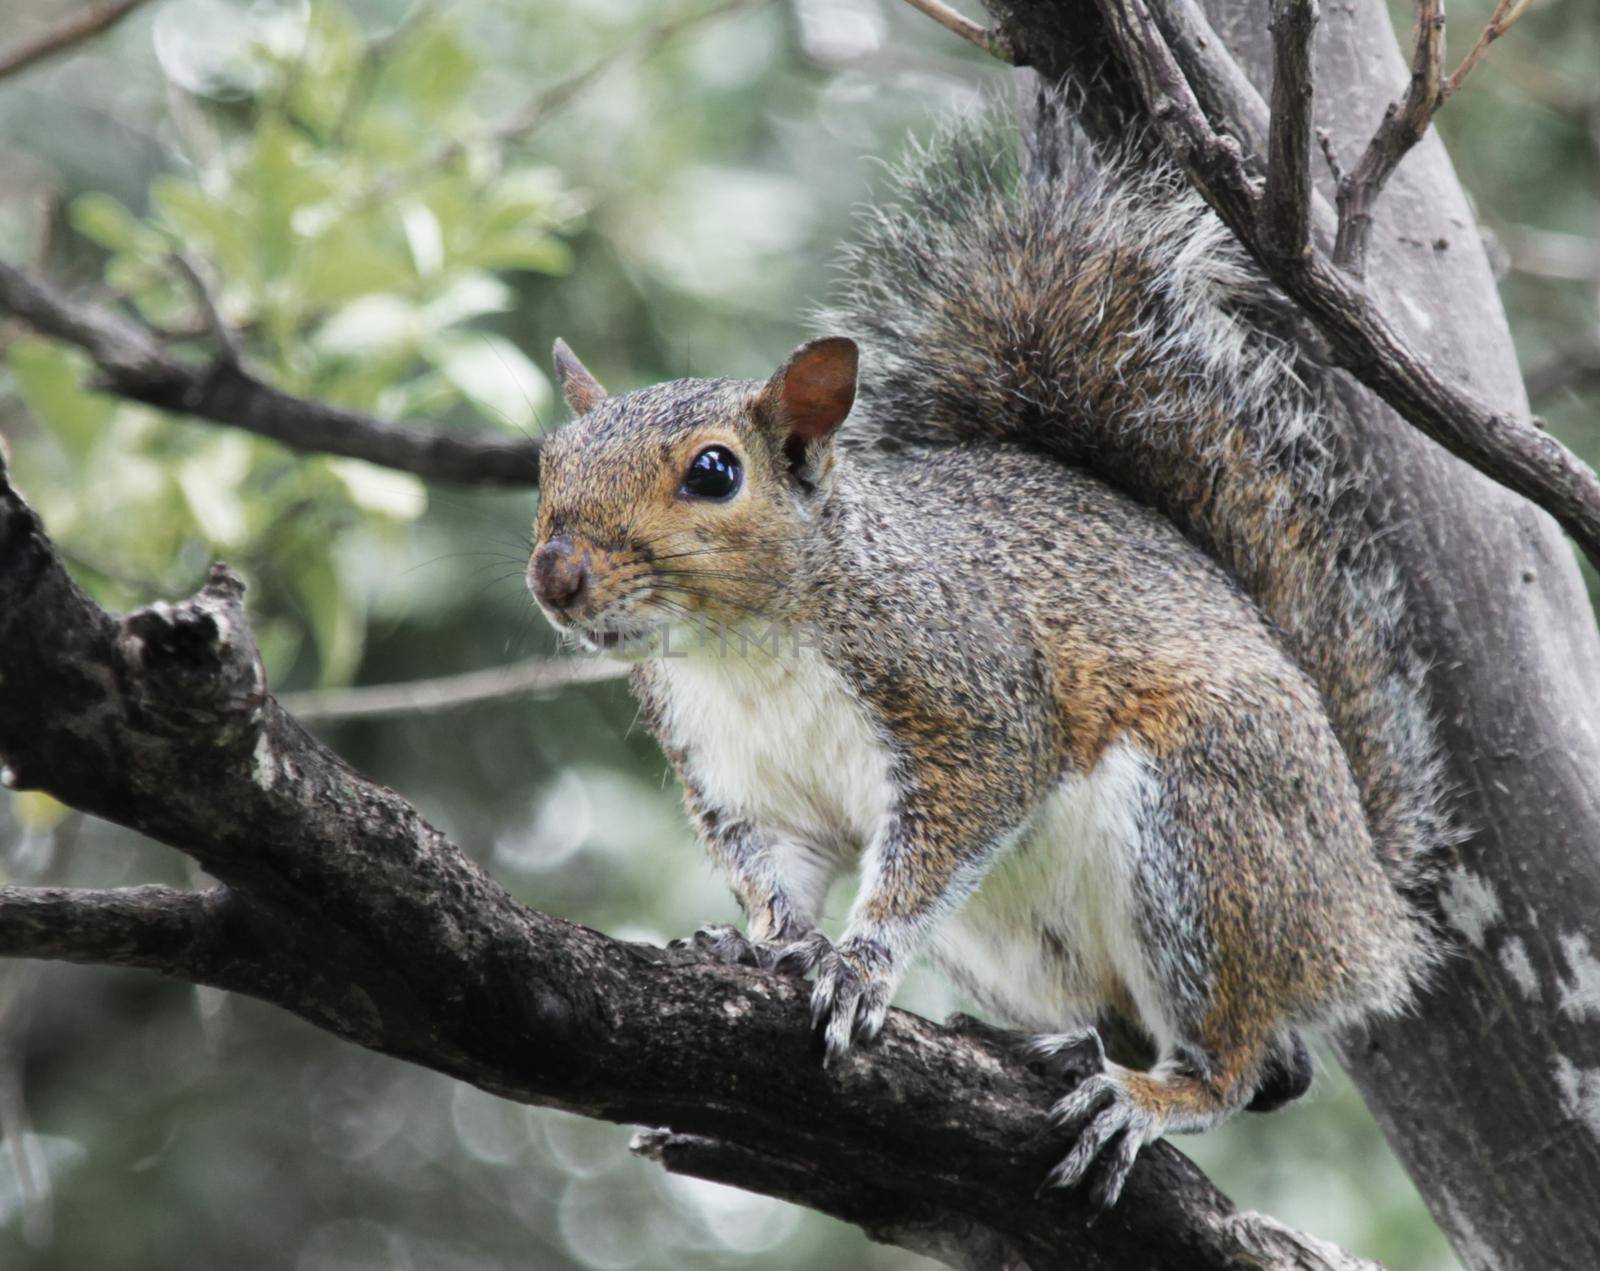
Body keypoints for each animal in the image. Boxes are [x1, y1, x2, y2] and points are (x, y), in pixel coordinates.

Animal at [524, 113, 1452, 1203]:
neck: (742, 647)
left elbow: (959, 813)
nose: (555, 574)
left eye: (714, 472)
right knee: (1256, 1061)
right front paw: (762, 946)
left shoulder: (972, 700)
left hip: (1204, 835)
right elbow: (778, 871)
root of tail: (1367, 907)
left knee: (1236, 1058)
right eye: (546, 462)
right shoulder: (735, 772)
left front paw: (858, 964)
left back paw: (1150, 1093)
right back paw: (1059, 1046)